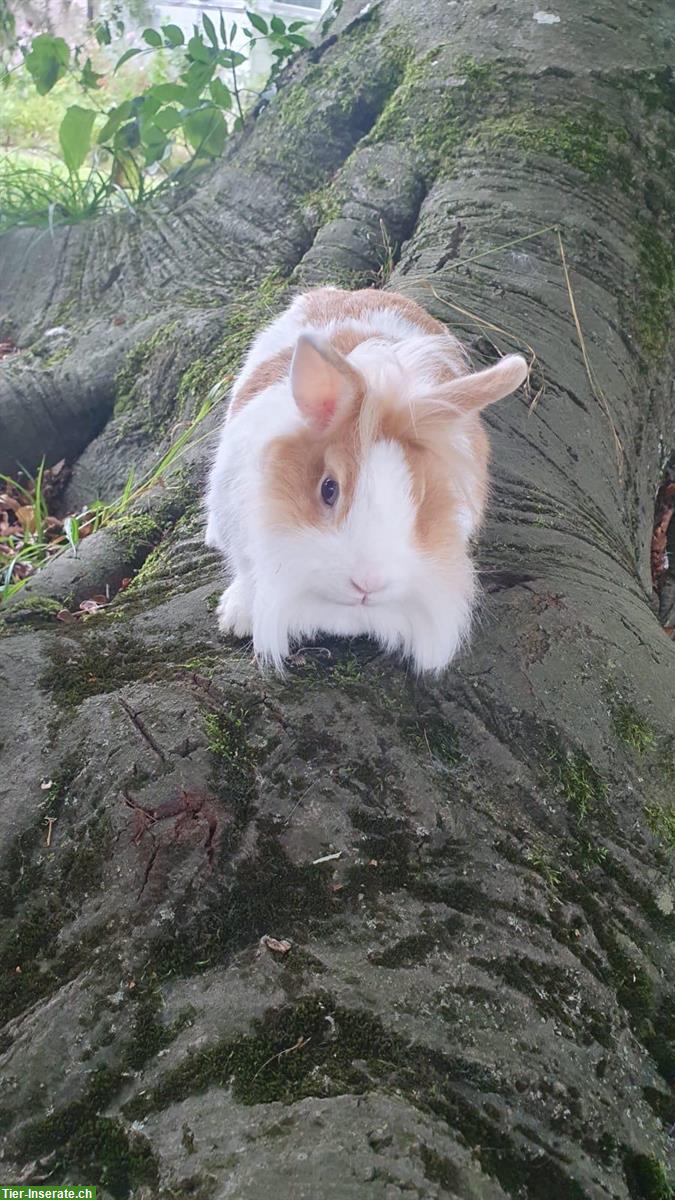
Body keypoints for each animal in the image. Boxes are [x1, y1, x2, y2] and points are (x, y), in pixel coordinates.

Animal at [204, 285, 526, 672]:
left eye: (419, 497)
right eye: (329, 489)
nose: (367, 584)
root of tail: (353, 292)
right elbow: (245, 572)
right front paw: (236, 619)